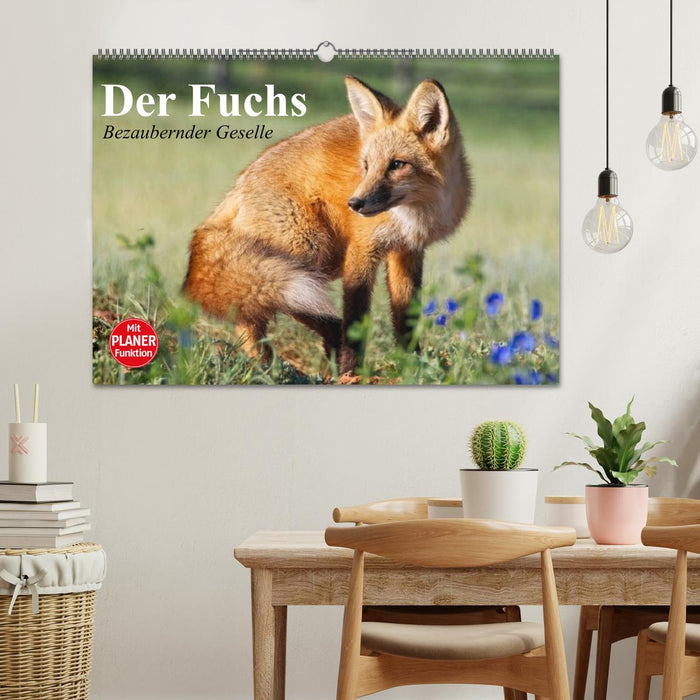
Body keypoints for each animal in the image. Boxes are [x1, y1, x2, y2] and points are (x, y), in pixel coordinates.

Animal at [183, 75, 471, 374]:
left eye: (397, 164)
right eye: (366, 166)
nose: (354, 204)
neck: (414, 216)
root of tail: (235, 189)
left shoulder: (407, 251)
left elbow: (407, 319)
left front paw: (412, 366)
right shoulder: (362, 249)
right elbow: (356, 316)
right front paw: (352, 372)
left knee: (251, 310)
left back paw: (267, 366)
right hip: (309, 252)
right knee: (264, 305)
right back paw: (286, 360)